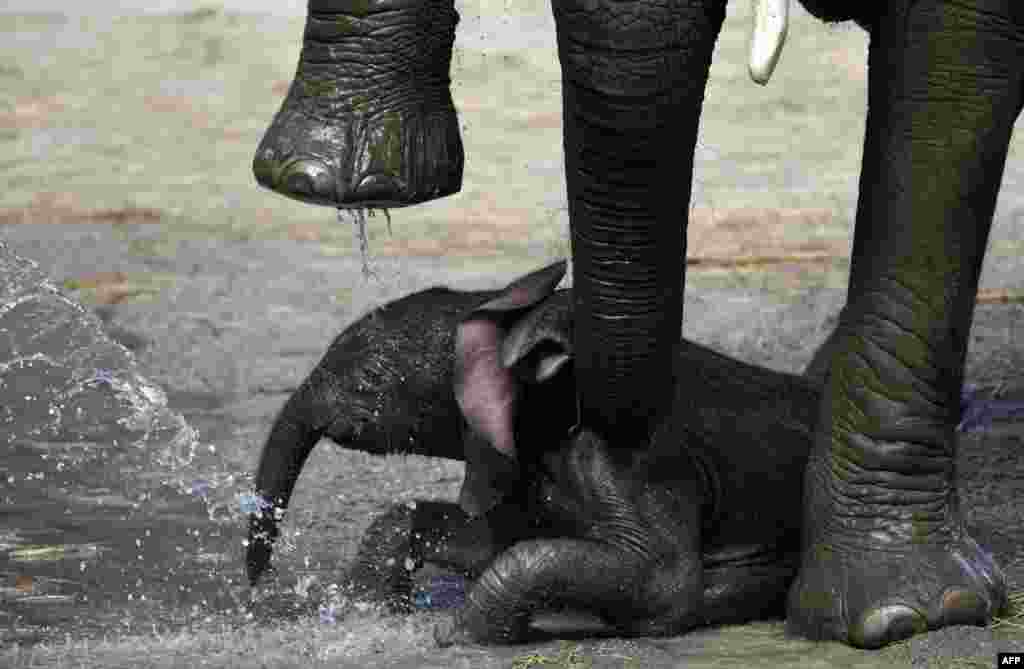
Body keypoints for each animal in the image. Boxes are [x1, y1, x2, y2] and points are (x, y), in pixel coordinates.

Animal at [251, 0, 1019, 651]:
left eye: (367, 377)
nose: (259, 589)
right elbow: (481, 538)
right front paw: (372, 603)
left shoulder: (616, 468)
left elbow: (652, 579)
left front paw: (456, 632)